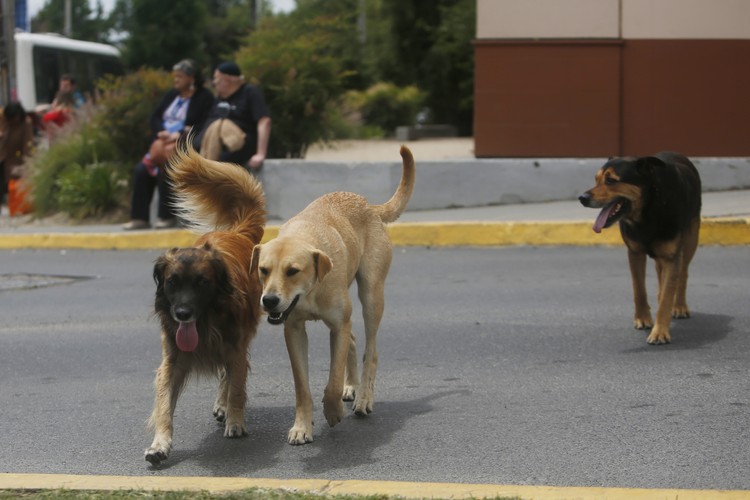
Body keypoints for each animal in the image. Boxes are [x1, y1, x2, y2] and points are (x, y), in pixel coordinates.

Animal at [145, 146, 266, 466]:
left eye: (202, 283)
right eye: (172, 282)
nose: (182, 313)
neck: (205, 321)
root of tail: (235, 232)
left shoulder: (234, 346)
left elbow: (236, 385)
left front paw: (235, 421)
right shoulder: (173, 359)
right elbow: (164, 406)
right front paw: (159, 445)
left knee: (230, 375)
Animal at [250, 145, 415, 445]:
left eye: (292, 271)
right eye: (263, 270)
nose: (269, 301)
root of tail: (369, 205)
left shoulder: (337, 325)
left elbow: (333, 378)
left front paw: (333, 410)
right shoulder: (293, 329)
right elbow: (302, 386)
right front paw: (302, 426)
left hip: (371, 295)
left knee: (371, 350)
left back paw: (363, 398)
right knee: (354, 340)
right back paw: (353, 387)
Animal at [579, 152, 702, 345]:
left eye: (611, 180)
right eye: (596, 179)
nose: (582, 198)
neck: (647, 209)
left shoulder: (672, 256)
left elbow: (667, 295)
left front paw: (659, 331)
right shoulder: (634, 252)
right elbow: (639, 289)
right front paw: (643, 318)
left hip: (691, 238)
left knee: (683, 273)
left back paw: (679, 306)